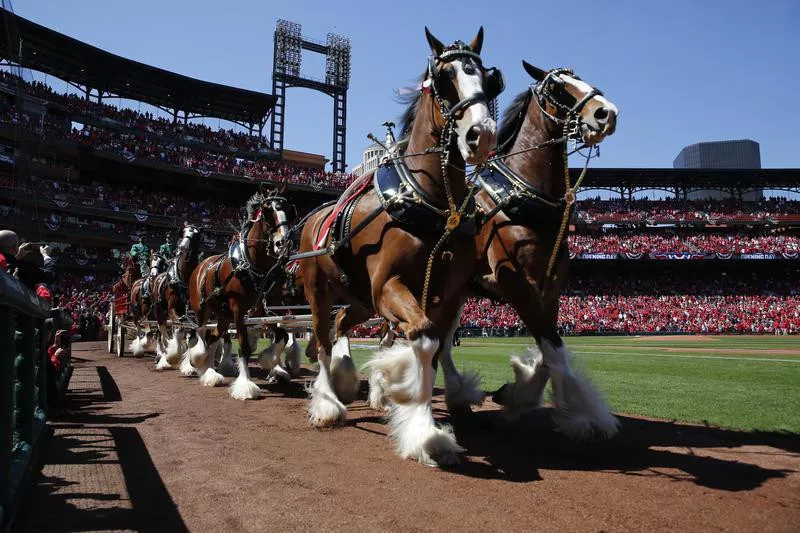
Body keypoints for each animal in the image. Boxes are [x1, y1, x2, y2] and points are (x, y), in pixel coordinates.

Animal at [296, 27, 504, 464]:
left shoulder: (446, 293)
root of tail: (313, 217)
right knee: (321, 340)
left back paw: (345, 379)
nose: (481, 135)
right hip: (319, 289)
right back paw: (327, 403)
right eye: (445, 77)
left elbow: (437, 347)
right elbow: (423, 340)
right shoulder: (388, 285)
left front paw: (399, 393)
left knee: (341, 325)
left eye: (490, 79)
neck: (430, 202)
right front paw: (423, 430)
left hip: (358, 298)